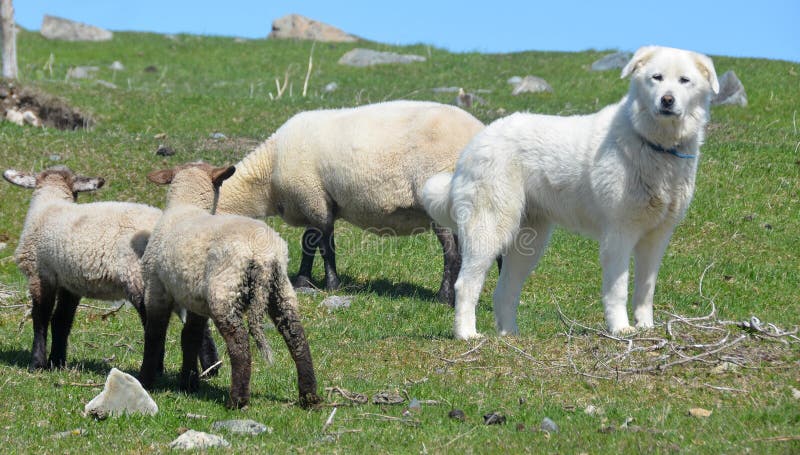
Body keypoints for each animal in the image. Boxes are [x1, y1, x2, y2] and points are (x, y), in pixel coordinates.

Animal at [3, 167, 219, 374]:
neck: (49, 204)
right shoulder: (69, 283)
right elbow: (61, 320)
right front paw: (57, 362)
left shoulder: (39, 273)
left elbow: (41, 318)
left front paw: (37, 363)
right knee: (197, 324)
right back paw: (210, 368)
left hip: (139, 278)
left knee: (154, 325)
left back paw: (158, 369)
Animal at [139, 163, 320, 410]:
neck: (186, 205)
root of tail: (262, 254)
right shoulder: (196, 300)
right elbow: (190, 337)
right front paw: (188, 383)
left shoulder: (156, 289)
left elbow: (154, 335)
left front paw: (146, 380)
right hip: (281, 290)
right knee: (297, 338)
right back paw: (309, 397)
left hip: (225, 291)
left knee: (240, 346)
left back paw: (237, 399)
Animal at [216, 100, 484, 306]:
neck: (268, 172)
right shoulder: (314, 201)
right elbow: (308, 242)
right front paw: (303, 281)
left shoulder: (313, 199)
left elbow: (325, 245)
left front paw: (332, 284)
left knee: (452, 252)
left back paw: (443, 298)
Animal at [422, 46, 720, 340]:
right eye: (656, 78)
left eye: (684, 80)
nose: (667, 100)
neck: (654, 143)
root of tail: (476, 142)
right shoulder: (619, 235)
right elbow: (618, 289)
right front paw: (621, 329)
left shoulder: (656, 237)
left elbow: (645, 289)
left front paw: (645, 327)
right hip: (490, 228)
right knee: (465, 284)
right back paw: (466, 334)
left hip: (529, 244)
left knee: (504, 291)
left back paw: (510, 335)